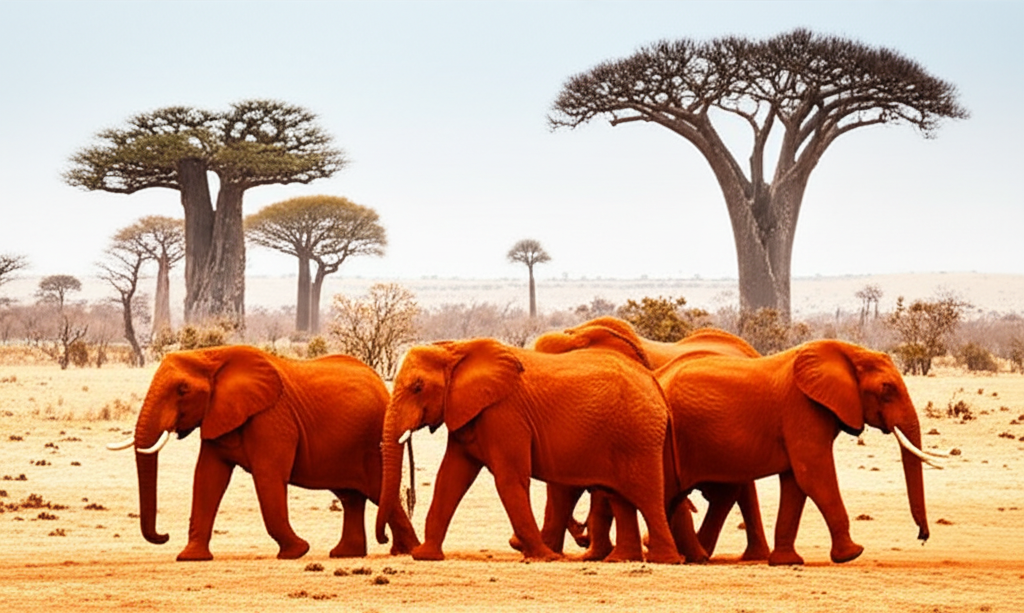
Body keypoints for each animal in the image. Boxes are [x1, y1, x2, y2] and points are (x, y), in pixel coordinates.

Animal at [107, 345, 420, 561]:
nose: (163, 535)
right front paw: (190, 557)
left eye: (182, 389)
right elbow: (208, 478)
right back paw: (347, 554)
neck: (211, 355)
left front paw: (296, 552)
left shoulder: (271, 417)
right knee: (351, 496)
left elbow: (268, 476)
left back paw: (404, 551)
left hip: (371, 442)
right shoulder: (217, 416)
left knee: (376, 489)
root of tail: (383, 387)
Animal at [374, 337, 682, 564]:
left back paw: (665, 560)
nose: (384, 539)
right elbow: (450, 478)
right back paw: (621, 560)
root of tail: (654, 383)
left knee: (645, 494)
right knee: (619, 496)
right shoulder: (468, 414)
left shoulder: (504, 414)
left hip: (639, 435)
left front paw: (544, 557)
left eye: (417, 387)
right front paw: (425, 556)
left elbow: (509, 480)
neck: (457, 349)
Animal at [657, 339, 944, 565]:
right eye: (887, 389)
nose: (922, 536)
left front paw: (787, 561)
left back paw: (689, 554)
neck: (846, 351)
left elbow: (795, 482)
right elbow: (813, 475)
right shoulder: (802, 408)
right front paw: (852, 554)